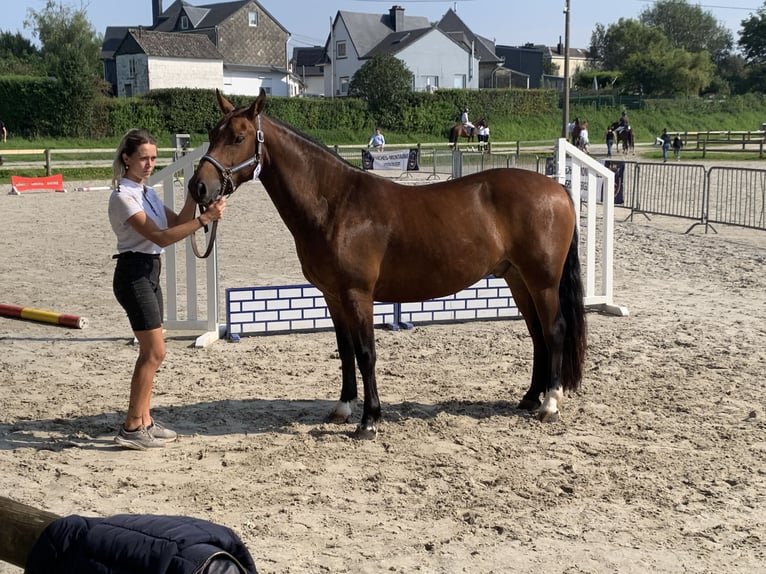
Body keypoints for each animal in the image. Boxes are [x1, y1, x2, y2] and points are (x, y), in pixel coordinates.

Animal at [189, 89, 584, 440]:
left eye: (238, 137)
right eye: (212, 134)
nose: (199, 187)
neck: (337, 205)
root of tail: (558, 189)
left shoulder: (358, 294)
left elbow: (366, 353)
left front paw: (370, 421)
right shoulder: (333, 296)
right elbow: (345, 350)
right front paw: (344, 408)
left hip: (542, 281)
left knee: (554, 330)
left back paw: (549, 404)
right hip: (517, 279)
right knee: (536, 335)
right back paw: (529, 398)